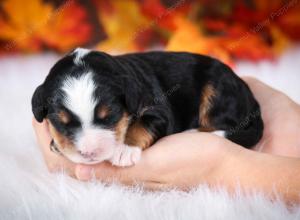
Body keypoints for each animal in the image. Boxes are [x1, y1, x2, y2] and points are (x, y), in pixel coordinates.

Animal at [31, 48, 264, 167]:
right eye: (61, 123)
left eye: (110, 117)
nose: (89, 153)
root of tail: (253, 101)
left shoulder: (159, 111)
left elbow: (142, 125)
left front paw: (124, 150)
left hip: (217, 92)